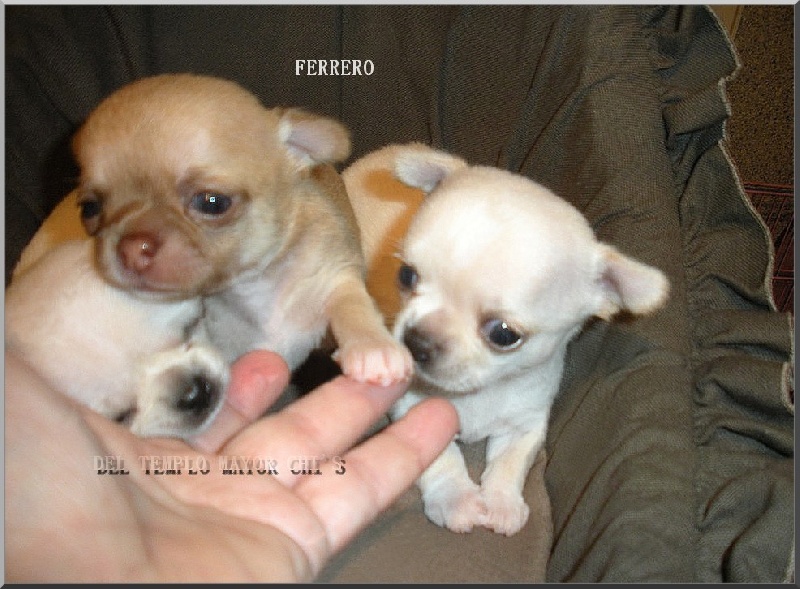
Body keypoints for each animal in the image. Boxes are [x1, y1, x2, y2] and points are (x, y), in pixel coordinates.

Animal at [7, 74, 411, 438]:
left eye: (212, 203)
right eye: (90, 209)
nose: (132, 247)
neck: (254, 288)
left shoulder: (331, 274)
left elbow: (351, 303)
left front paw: (374, 347)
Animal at [343, 143, 669, 535]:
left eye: (503, 335)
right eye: (406, 276)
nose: (416, 342)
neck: (479, 392)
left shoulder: (527, 422)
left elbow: (511, 461)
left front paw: (501, 502)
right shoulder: (411, 405)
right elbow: (443, 456)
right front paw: (457, 499)